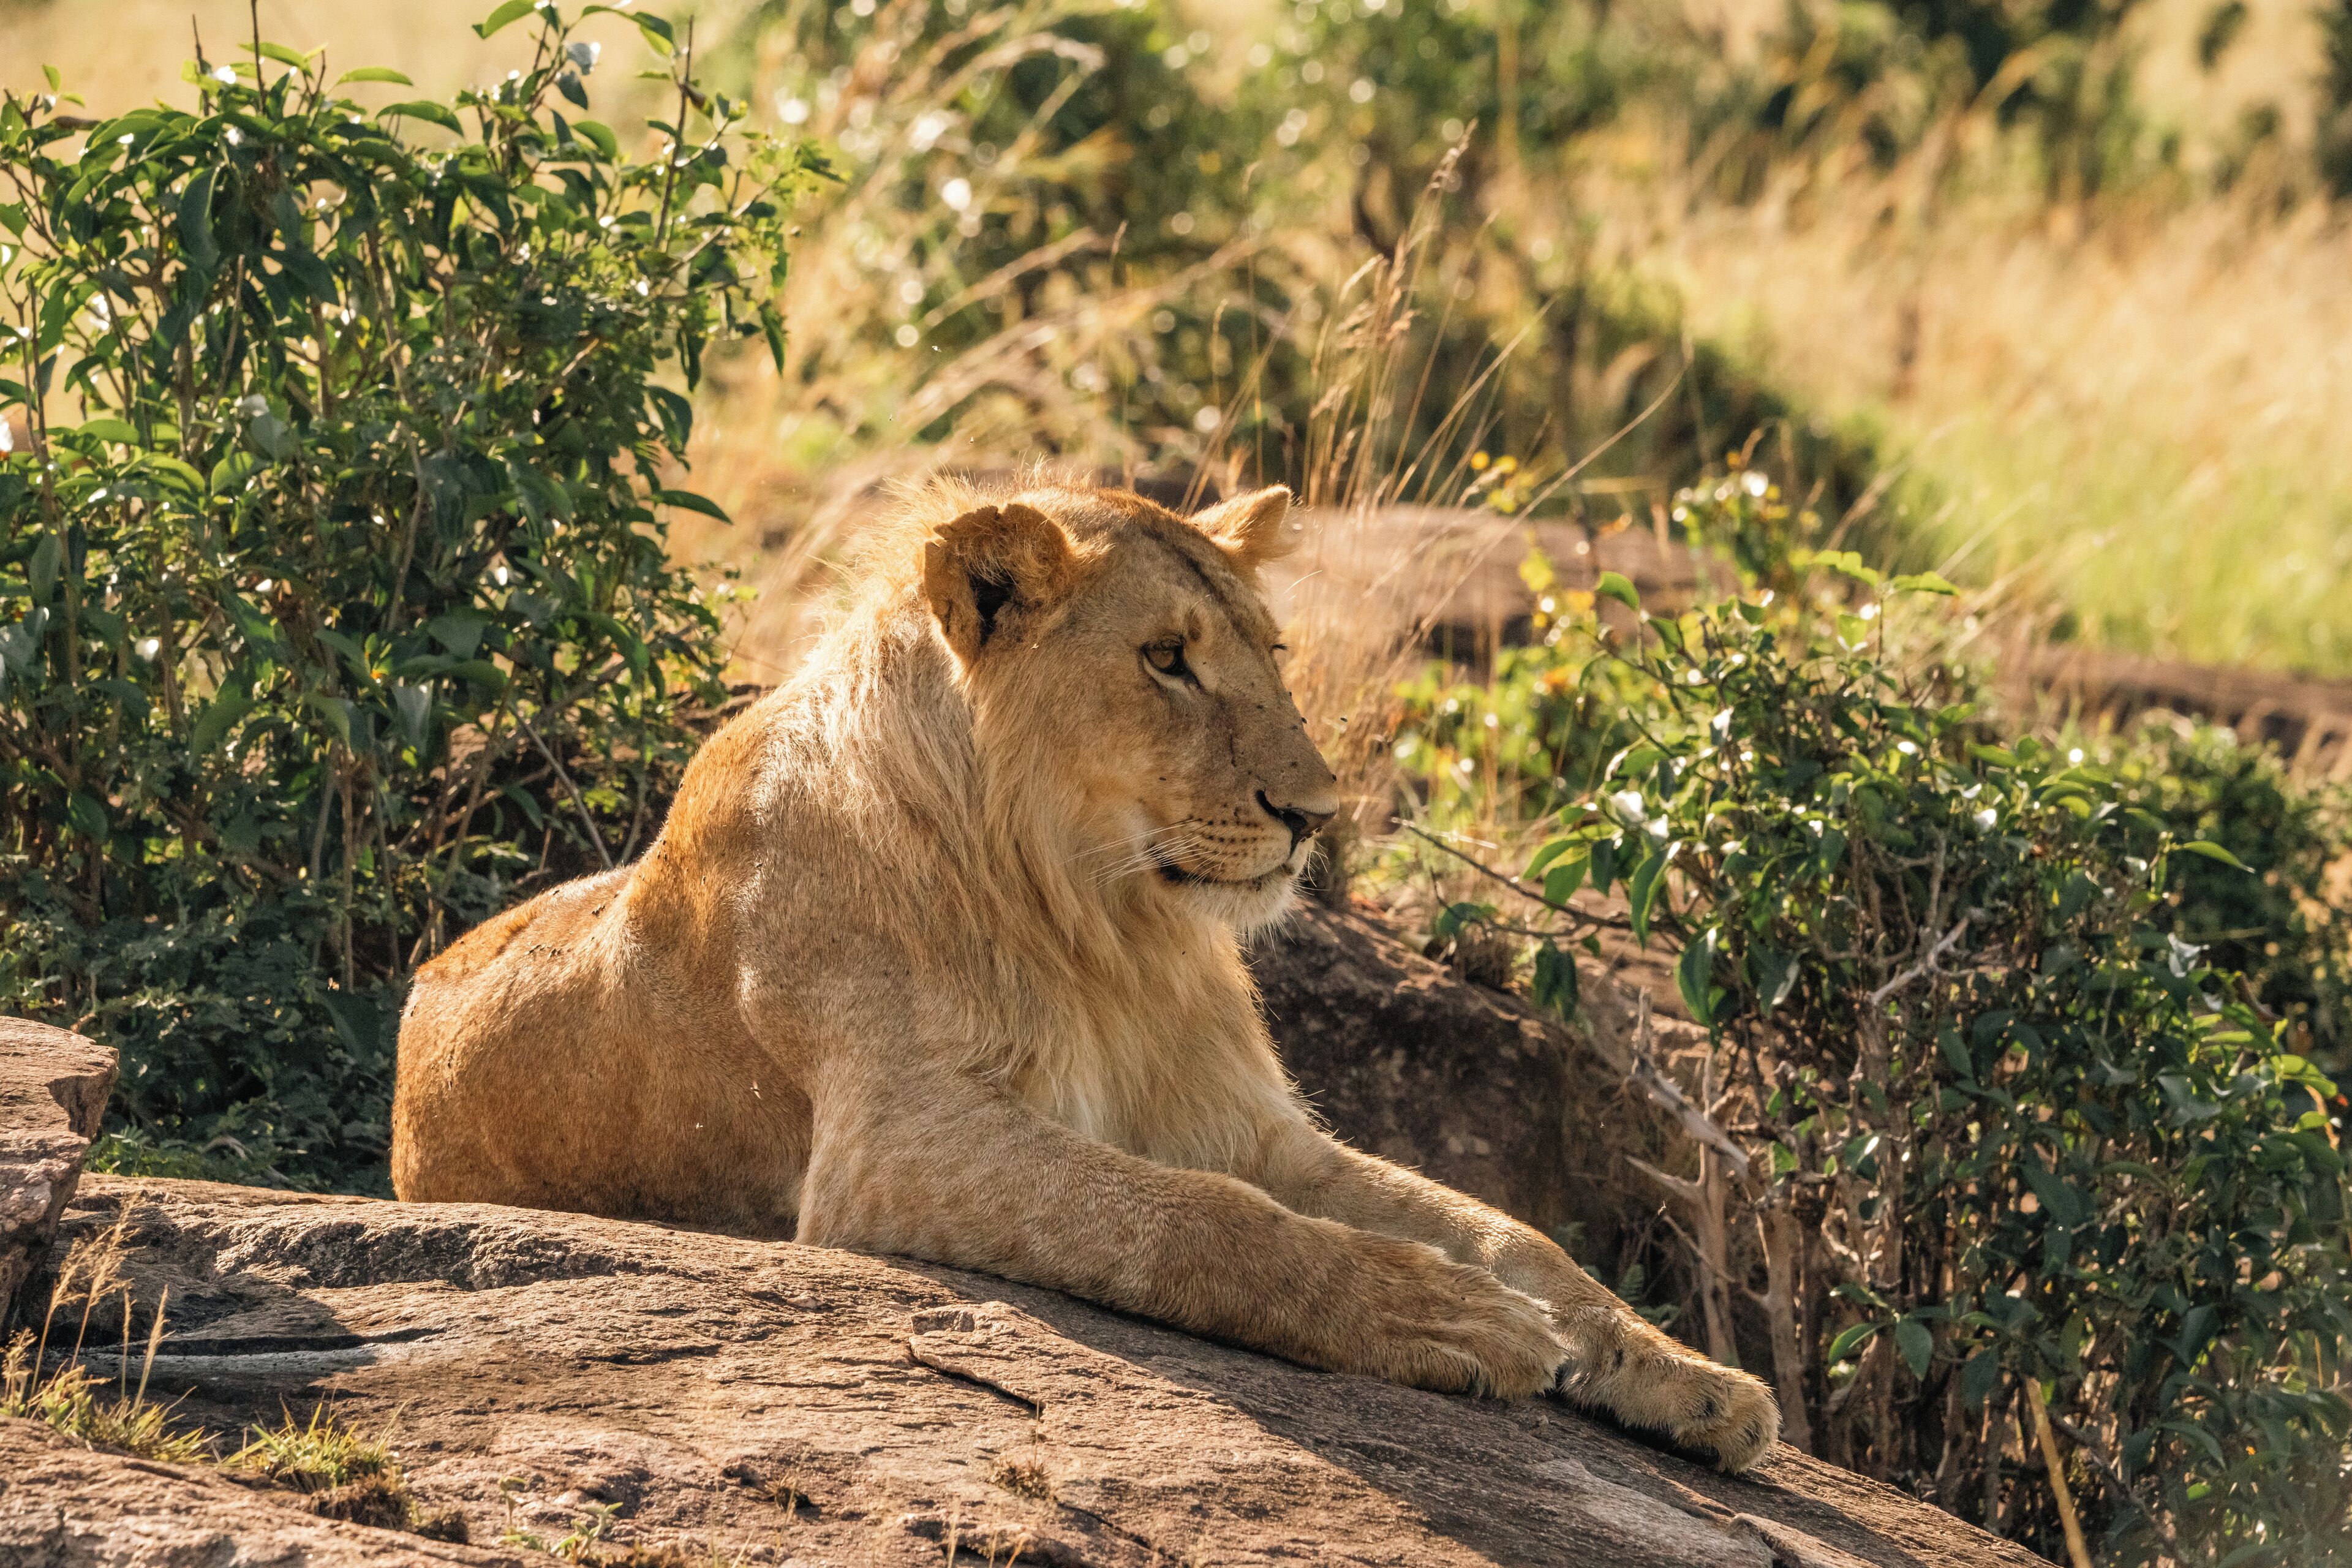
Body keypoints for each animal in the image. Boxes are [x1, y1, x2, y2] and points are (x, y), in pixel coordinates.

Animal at [391, 479, 1778, 1470]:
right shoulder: (893, 1144)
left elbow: (1512, 1232)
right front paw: (1442, 1317)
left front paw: (1689, 1378)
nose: (1317, 816)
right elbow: (1196, 1218)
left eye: (1271, 652)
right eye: (1166, 658)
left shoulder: (1248, 1128)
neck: (1100, 924)